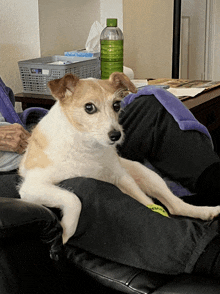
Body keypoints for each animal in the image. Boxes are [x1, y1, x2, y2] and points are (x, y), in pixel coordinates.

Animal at [18, 73, 220, 243]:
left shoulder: (122, 177)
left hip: (145, 174)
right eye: (89, 107)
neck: (87, 146)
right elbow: (73, 199)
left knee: (174, 205)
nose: (116, 135)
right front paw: (67, 231)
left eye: (116, 105)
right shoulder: (32, 187)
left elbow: (148, 204)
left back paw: (206, 211)